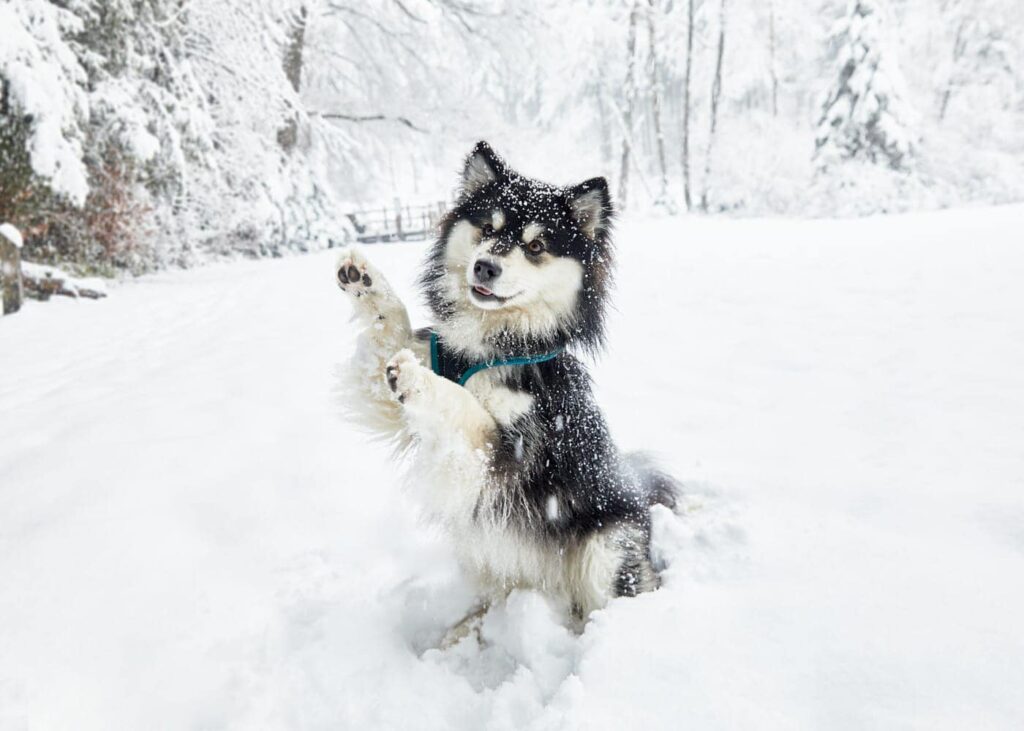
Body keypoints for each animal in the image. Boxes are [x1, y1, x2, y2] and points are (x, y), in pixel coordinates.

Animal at [333, 139, 679, 630]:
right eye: (486, 228)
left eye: (535, 246)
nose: (485, 267)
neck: (491, 348)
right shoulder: (401, 408)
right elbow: (391, 341)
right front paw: (368, 285)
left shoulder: (511, 452)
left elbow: (464, 402)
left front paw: (422, 378)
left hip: (605, 552)